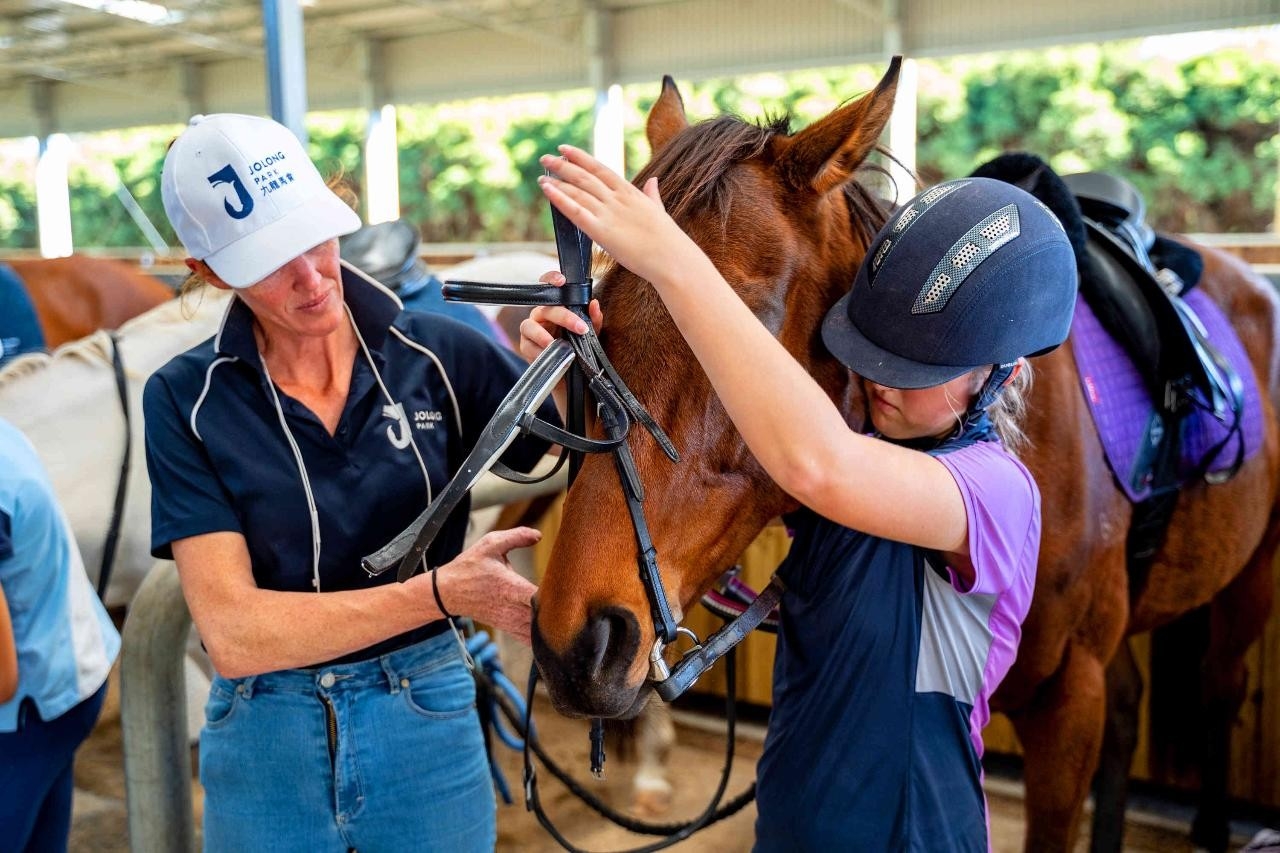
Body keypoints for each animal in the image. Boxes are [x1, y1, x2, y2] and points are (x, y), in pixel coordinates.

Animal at [529, 61, 1280, 850]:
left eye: (745, 322)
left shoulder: (1070, 699)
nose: (576, 644)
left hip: (1249, 577)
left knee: (1221, 688)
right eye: (600, 313)